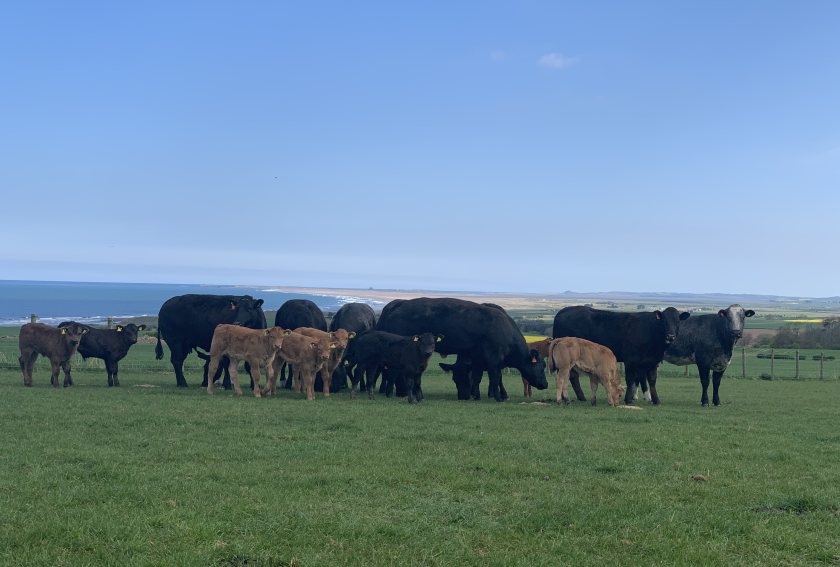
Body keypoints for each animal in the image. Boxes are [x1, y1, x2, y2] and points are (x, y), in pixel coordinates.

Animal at [376, 300, 548, 402]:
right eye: (541, 366)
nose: (545, 384)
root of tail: (398, 303)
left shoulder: (480, 360)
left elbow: (479, 377)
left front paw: (477, 395)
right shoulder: (493, 359)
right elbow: (495, 377)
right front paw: (499, 397)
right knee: (393, 373)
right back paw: (397, 393)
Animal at [552, 306, 688, 404]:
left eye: (677, 321)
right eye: (664, 321)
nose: (670, 336)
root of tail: (563, 311)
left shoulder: (653, 361)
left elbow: (652, 380)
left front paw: (656, 400)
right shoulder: (630, 360)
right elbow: (631, 379)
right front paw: (628, 399)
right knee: (569, 376)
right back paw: (574, 397)